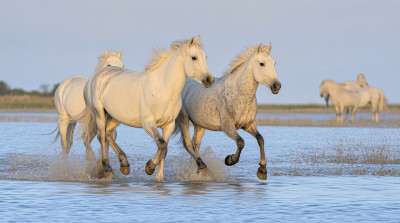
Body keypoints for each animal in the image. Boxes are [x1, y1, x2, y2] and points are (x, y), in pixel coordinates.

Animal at [79, 35, 214, 180]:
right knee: (102, 136)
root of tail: (96, 74)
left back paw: (124, 164)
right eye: (194, 57)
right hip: (99, 113)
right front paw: (149, 167)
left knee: (108, 133)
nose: (209, 80)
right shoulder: (148, 124)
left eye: (206, 57)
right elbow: (161, 144)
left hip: (116, 117)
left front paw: (158, 176)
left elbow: (164, 148)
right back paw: (107, 168)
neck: (162, 89)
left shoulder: (169, 125)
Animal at [175, 43, 282, 179]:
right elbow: (241, 142)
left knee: (195, 144)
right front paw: (229, 160)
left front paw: (262, 170)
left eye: (274, 63)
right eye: (262, 64)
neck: (239, 93)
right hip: (183, 119)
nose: (276, 86)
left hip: (199, 125)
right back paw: (201, 167)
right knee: (188, 144)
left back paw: (198, 169)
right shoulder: (227, 127)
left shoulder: (248, 124)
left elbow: (260, 139)